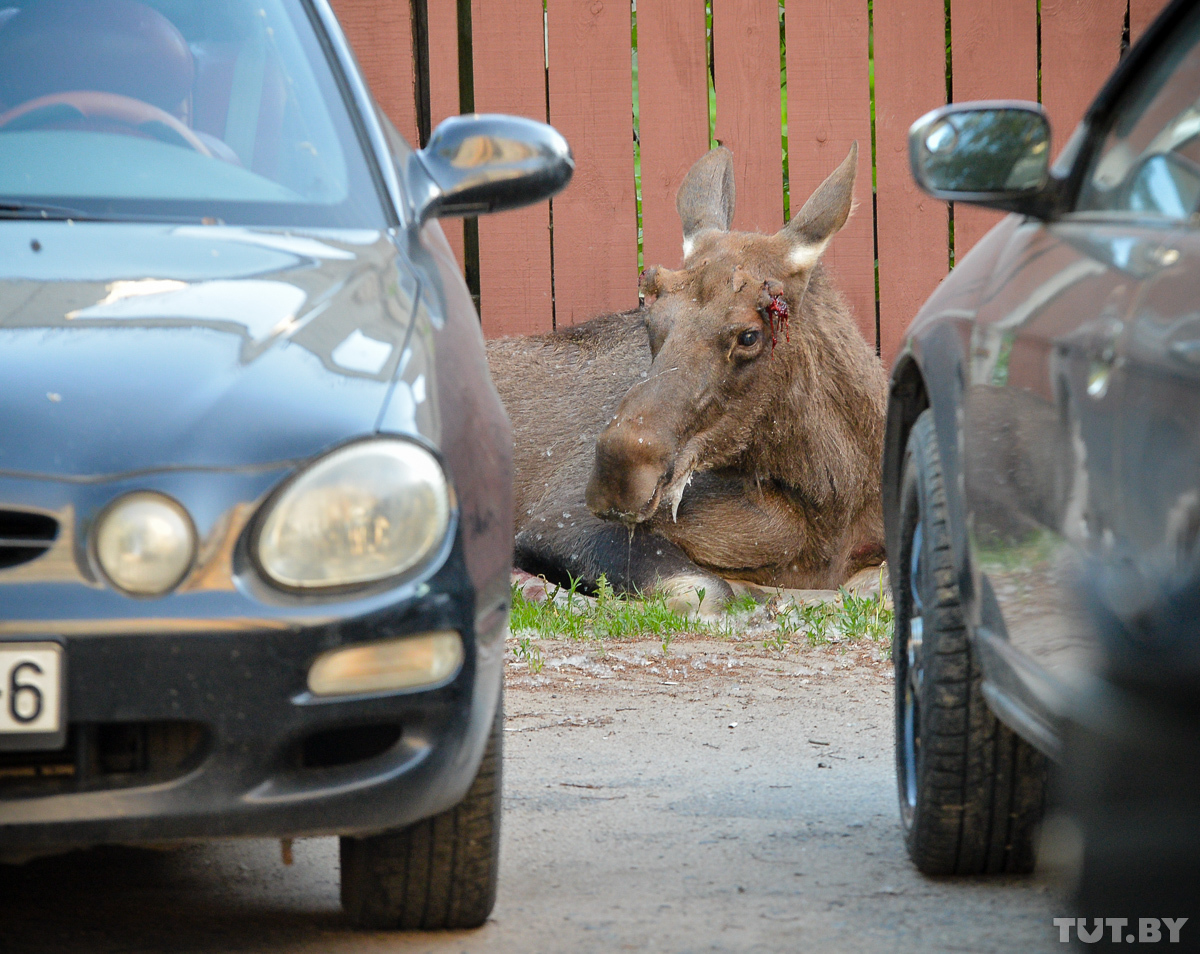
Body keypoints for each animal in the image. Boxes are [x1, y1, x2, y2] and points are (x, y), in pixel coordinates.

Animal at [487, 146, 892, 614]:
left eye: (749, 334)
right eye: (650, 319)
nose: (616, 476)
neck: (836, 502)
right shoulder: (556, 520)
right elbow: (703, 588)